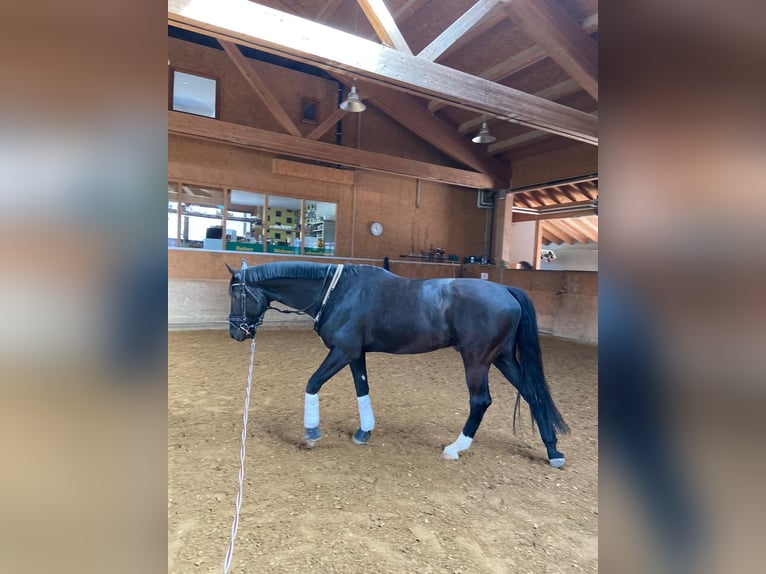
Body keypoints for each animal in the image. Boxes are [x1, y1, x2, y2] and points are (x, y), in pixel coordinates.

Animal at [228, 260, 568, 468]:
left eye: (235, 295)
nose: (236, 332)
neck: (338, 292)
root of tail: (505, 290)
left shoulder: (342, 351)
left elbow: (312, 383)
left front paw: (311, 433)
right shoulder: (355, 354)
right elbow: (362, 390)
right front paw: (364, 432)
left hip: (477, 360)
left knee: (481, 401)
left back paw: (455, 448)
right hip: (503, 358)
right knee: (532, 393)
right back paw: (552, 451)